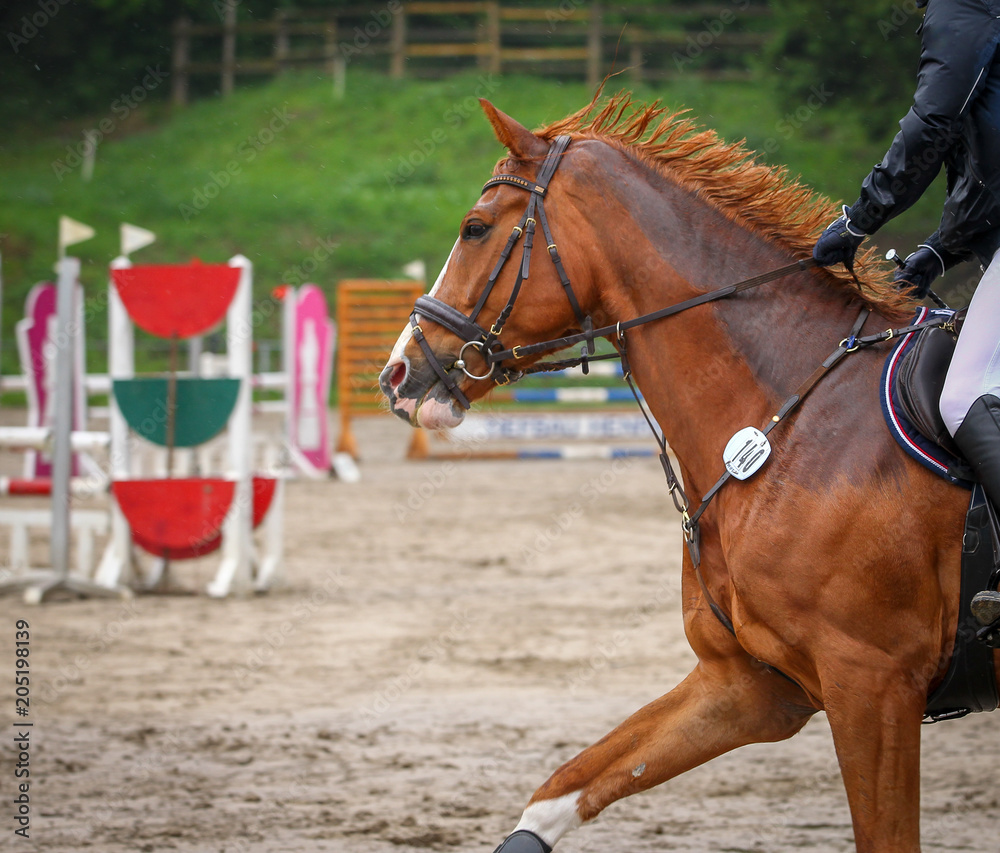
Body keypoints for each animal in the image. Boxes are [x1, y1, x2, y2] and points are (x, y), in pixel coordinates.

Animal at [378, 93, 991, 853]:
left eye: (475, 227)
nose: (396, 375)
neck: (786, 421)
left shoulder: (872, 687)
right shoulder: (752, 686)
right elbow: (559, 792)